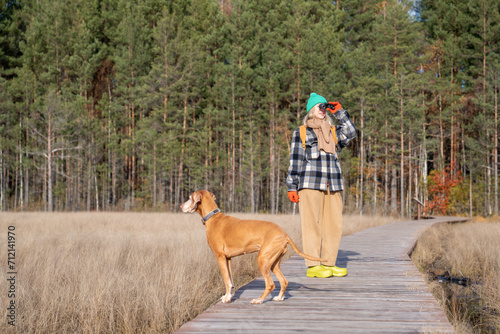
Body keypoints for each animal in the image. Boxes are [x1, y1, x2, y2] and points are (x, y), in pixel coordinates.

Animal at [180, 190, 324, 302]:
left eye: (189, 197)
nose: (181, 206)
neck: (213, 217)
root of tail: (284, 234)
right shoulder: (228, 259)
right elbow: (230, 280)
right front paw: (228, 296)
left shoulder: (220, 257)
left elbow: (226, 279)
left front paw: (227, 299)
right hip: (273, 262)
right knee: (284, 281)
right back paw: (279, 297)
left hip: (262, 259)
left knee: (270, 284)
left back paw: (259, 300)